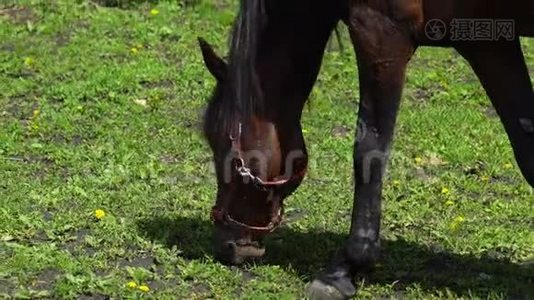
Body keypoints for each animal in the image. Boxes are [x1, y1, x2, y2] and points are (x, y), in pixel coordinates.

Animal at [199, 0, 532, 298]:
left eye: (220, 141)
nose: (226, 245)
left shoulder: (381, 33)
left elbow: (369, 148)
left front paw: (346, 268)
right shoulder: (489, 44)